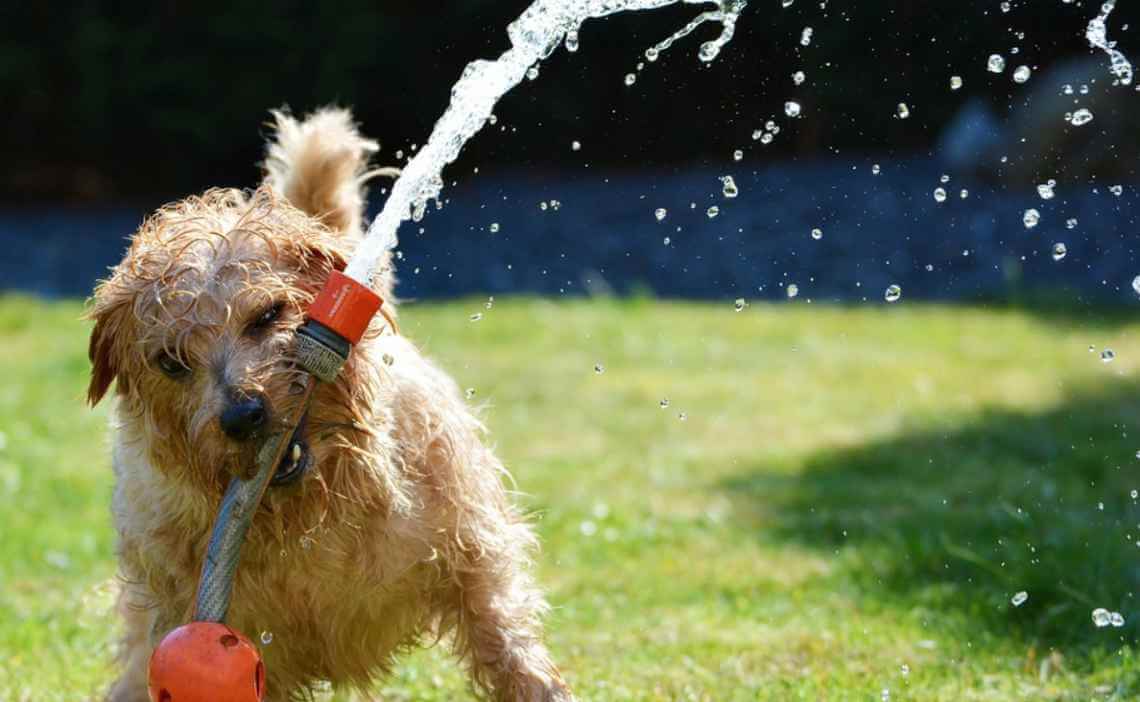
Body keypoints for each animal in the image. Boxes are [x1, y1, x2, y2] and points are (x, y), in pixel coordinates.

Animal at [88, 107, 574, 697]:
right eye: (171, 361)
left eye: (268, 314)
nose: (243, 416)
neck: (311, 512)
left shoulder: (472, 556)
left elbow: (508, 643)